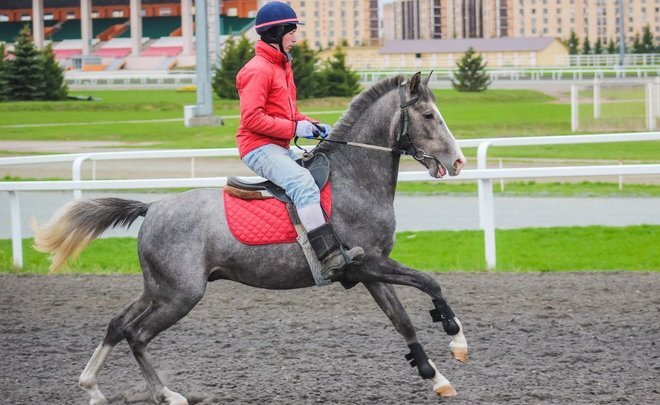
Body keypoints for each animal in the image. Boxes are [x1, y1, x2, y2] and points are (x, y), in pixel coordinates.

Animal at [34, 72, 470, 404]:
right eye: (428, 114)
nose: (458, 162)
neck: (354, 179)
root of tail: (152, 208)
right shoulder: (372, 264)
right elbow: (430, 282)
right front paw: (456, 338)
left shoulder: (368, 271)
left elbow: (403, 321)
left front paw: (437, 376)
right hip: (180, 295)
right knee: (136, 334)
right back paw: (168, 395)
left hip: (158, 289)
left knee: (117, 324)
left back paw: (92, 388)